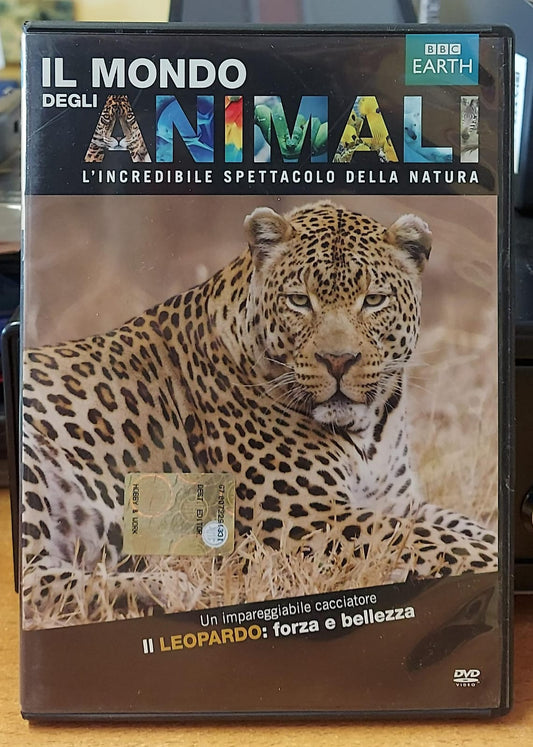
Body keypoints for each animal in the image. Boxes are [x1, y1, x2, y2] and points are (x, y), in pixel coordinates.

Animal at [21, 201, 498, 626]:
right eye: (299, 301)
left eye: (374, 300)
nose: (338, 360)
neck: (369, 428)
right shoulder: (304, 518)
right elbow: (435, 541)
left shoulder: (403, 501)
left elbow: (465, 527)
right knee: (31, 580)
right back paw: (166, 588)